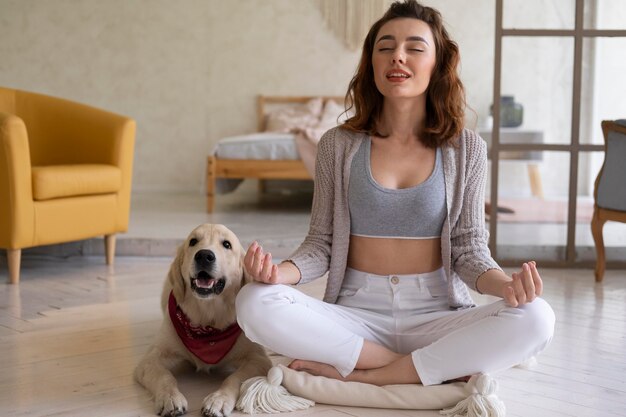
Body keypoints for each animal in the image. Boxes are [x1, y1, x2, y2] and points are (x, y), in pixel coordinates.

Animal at [134, 224, 270, 416]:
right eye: (193, 241)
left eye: (227, 244)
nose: (204, 255)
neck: (207, 320)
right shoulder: (150, 359)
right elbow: (165, 376)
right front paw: (170, 398)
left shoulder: (259, 360)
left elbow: (234, 378)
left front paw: (218, 399)